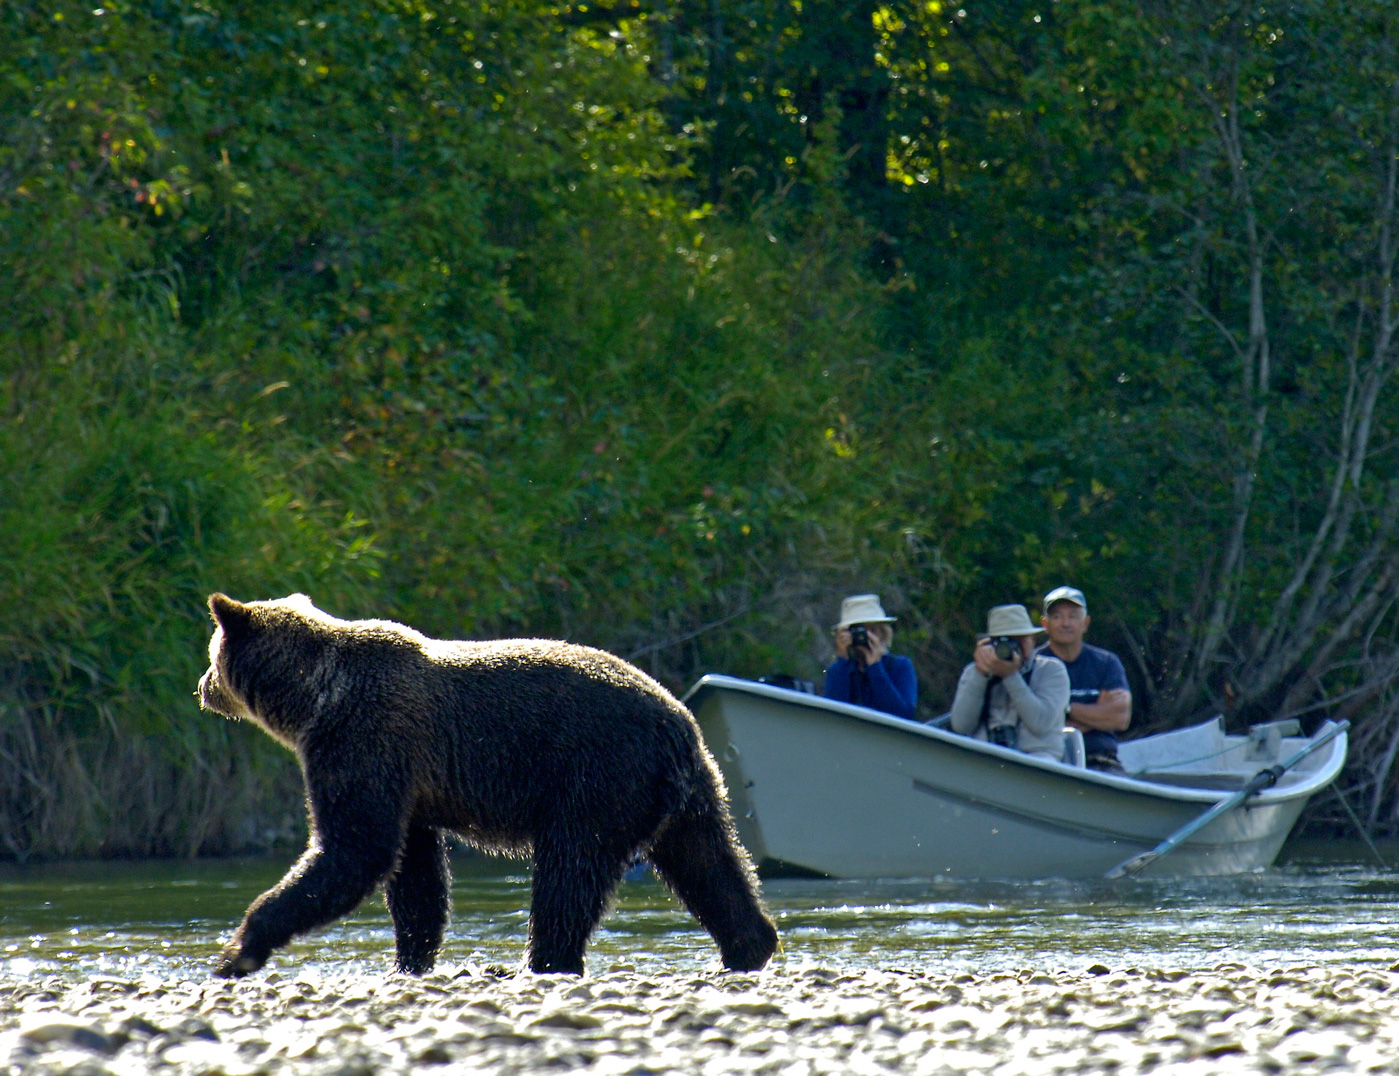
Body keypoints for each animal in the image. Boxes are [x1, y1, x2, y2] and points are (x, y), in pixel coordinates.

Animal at [196, 593, 778, 978]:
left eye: (211, 653)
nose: (202, 687)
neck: (313, 700)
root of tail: (679, 722)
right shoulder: (411, 784)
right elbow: (415, 874)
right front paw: (411, 959)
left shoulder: (363, 743)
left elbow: (354, 849)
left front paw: (239, 948)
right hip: (689, 791)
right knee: (709, 862)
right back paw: (749, 944)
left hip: (595, 776)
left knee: (569, 872)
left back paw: (542, 960)